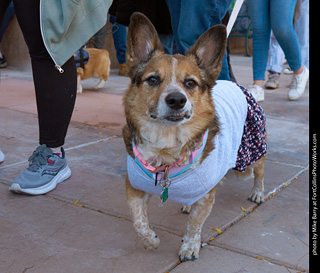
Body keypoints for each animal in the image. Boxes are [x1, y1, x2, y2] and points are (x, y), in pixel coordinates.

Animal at [121, 12, 266, 262]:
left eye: (190, 83)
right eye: (152, 80)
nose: (177, 100)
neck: (166, 148)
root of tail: (235, 83)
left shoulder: (206, 196)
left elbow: (195, 225)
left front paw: (190, 247)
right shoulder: (134, 188)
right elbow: (138, 220)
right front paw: (150, 241)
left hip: (254, 152)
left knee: (259, 173)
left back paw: (257, 193)